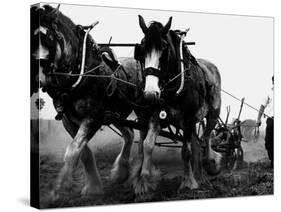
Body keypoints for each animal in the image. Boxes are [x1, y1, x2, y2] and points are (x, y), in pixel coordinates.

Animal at [30, 4, 145, 200]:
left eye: (49, 38)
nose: (38, 78)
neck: (81, 73)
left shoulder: (93, 118)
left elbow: (72, 151)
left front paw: (57, 188)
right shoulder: (69, 121)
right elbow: (83, 152)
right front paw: (93, 187)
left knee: (144, 138)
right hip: (115, 114)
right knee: (129, 134)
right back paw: (120, 173)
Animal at [130, 14, 222, 194]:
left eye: (164, 50)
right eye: (142, 49)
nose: (150, 93)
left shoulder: (188, 118)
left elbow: (186, 151)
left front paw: (188, 182)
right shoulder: (156, 116)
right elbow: (147, 145)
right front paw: (143, 182)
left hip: (213, 113)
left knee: (206, 137)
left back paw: (210, 163)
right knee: (196, 143)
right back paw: (200, 176)